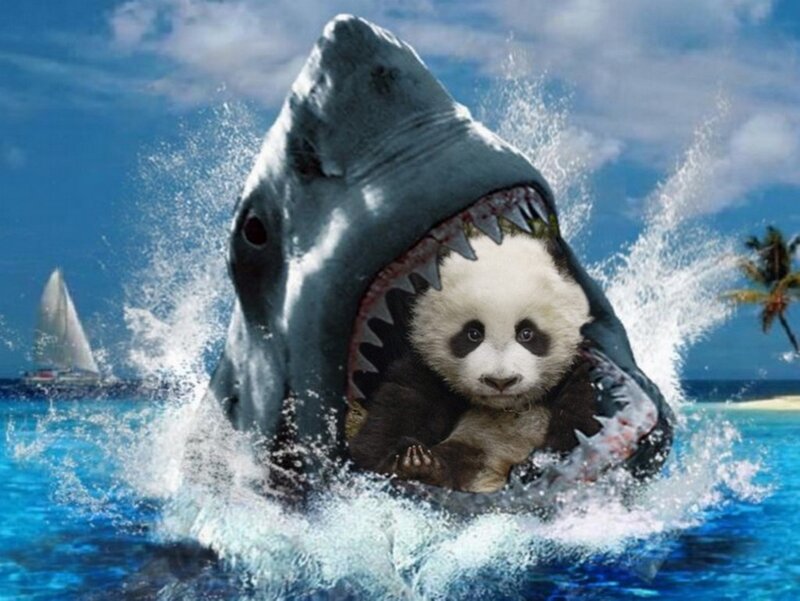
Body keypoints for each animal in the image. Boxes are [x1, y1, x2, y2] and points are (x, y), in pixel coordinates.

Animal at [349, 234, 602, 493]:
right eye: (473, 334)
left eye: (527, 333)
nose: (500, 381)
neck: (509, 407)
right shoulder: (428, 371)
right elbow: (396, 415)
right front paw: (400, 463)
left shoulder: (582, 365)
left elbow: (582, 419)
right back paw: (422, 467)